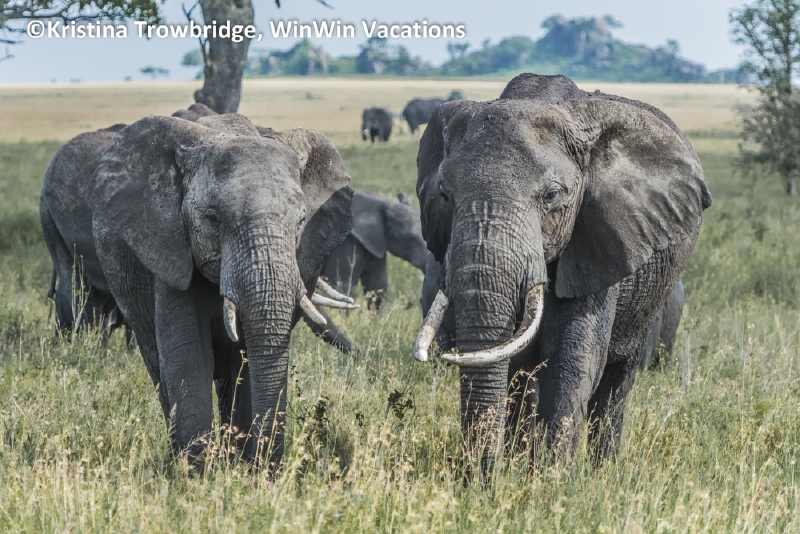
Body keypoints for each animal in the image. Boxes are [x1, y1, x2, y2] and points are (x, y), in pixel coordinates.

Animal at [86, 113, 353, 468]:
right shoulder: (171, 252)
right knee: (158, 367)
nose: (271, 471)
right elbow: (188, 356)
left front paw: (242, 471)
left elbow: (248, 361)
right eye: (213, 219)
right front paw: (197, 474)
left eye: (301, 222)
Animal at [412, 73, 711, 469]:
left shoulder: (600, 241)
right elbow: (518, 363)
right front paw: (521, 469)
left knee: (617, 380)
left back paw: (603, 470)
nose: (475, 475)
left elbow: (573, 360)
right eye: (444, 194)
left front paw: (552, 478)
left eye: (552, 195)